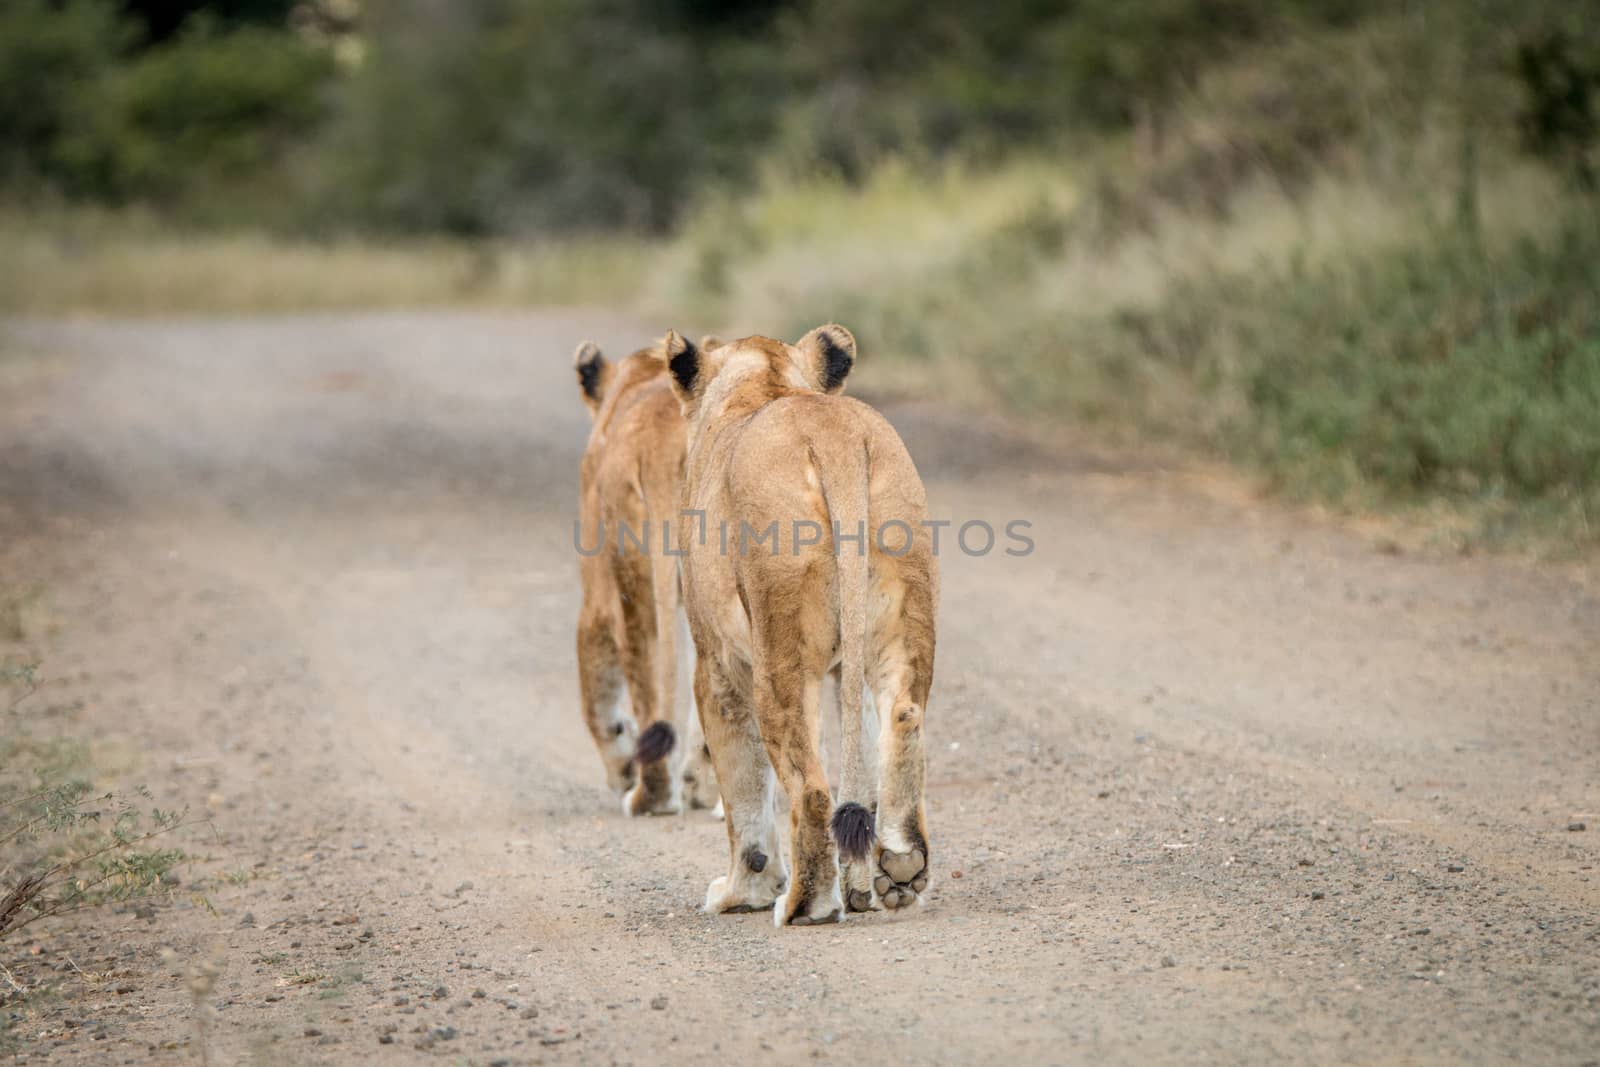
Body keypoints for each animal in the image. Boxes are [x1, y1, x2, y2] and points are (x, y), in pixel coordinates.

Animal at [576, 342, 720, 819]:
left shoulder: (597, 593)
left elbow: (597, 695)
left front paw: (621, 768)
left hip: (633, 578)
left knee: (646, 682)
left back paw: (649, 796)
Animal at [659, 326, 934, 927]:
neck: (762, 382)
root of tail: (833, 433)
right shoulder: (841, 668)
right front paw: (860, 886)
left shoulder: (717, 665)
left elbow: (743, 787)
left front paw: (742, 893)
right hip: (900, 612)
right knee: (901, 718)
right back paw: (899, 868)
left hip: (778, 656)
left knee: (809, 790)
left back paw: (805, 905)